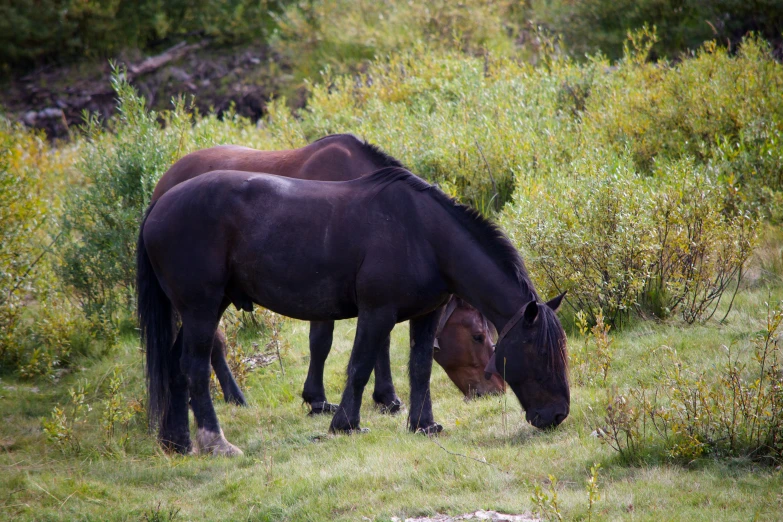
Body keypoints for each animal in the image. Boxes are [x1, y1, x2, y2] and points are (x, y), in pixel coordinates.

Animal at [138, 166, 568, 450]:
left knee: (176, 367)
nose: (558, 415)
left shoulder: (424, 316)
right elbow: (360, 367)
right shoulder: (376, 313)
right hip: (202, 309)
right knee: (194, 367)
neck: (423, 234)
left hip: (200, 311)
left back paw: (177, 441)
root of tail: (159, 205)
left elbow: (420, 369)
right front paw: (345, 424)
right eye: (540, 353)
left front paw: (423, 424)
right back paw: (216, 442)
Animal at [151, 131, 506, 410]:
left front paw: (383, 396)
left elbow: (378, 343)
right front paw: (321, 398)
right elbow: (322, 342)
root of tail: (163, 188)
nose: (496, 390)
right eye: (477, 336)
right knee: (213, 344)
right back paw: (233, 397)